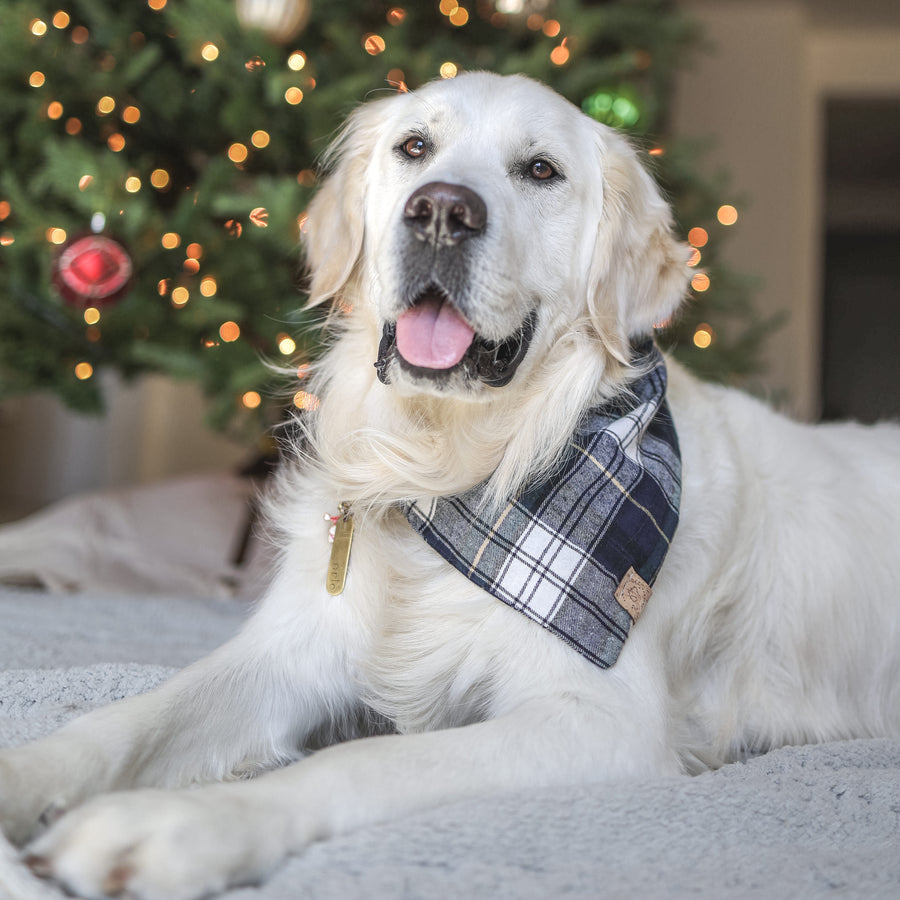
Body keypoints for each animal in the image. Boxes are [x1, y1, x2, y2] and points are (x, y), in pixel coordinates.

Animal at [1, 72, 900, 900]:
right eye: (415, 148)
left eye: (540, 170)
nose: (440, 211)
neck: (446, 471)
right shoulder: (292, 648)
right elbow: (123, 722)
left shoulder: (602, 721)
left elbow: (360, 761)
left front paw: (176, 824)